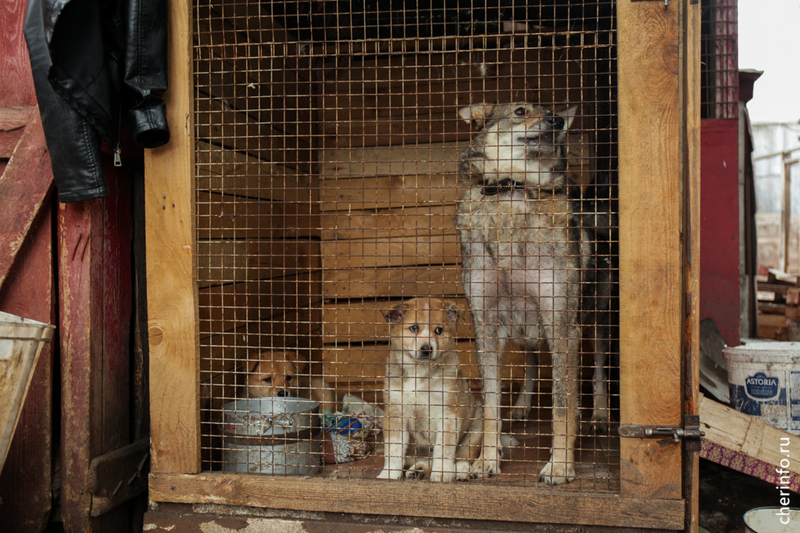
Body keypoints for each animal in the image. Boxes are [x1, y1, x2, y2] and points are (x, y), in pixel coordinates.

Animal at [378, 298, 484, 480]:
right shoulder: (395, 412)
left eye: (439, 330)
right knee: (422, 457)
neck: (419, 373)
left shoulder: (448, 414)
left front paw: (441, 473)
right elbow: (393, 449)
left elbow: (444, 448)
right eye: (414, 328)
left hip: (476, 422)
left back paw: (460, 471)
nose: (426, 349)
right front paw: (389, 474)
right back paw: (418, 470)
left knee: (464, 455)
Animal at [456, 102, 588, 484]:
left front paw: (560, 464)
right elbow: (490, 405)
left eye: (551, 113)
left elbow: (561, 405)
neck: (514, 188)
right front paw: (485, 460)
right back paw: (521, 407)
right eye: (520, 111)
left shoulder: (562, 326)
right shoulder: (485, 327)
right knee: (530, 361)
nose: (557, 121)